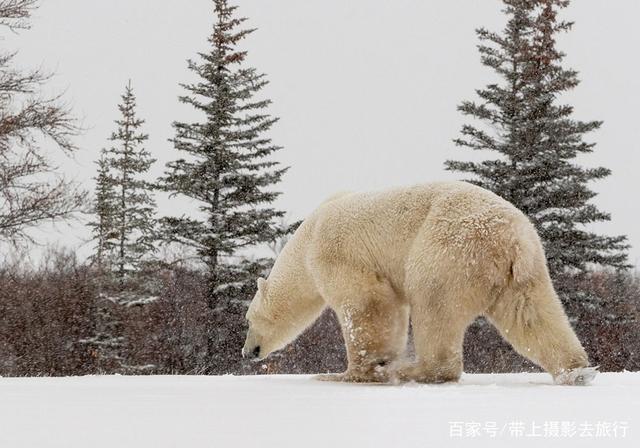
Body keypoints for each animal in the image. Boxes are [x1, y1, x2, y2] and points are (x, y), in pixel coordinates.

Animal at [242, 182, 596, 384]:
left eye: (248, 320)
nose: (247, 352)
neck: (305, 242)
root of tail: (512, 238)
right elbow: (391, 309)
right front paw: (379, 362)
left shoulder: (335, 254)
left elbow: (365, 303)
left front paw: (352, 372)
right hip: (522, 270)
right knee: (532, 314)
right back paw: (576, 370)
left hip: (449, 249)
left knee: (433, 301)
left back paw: (412, 370)